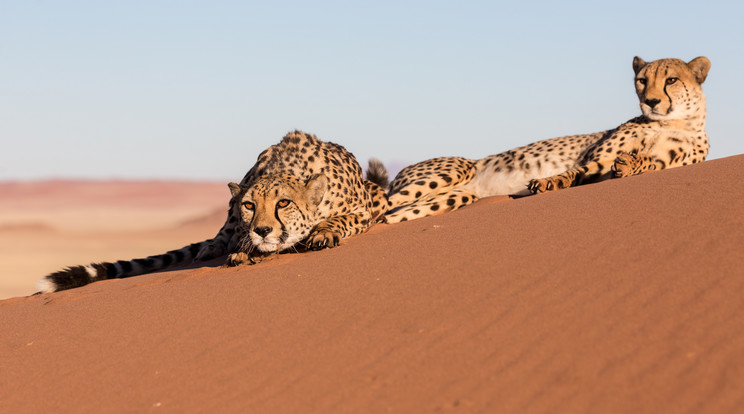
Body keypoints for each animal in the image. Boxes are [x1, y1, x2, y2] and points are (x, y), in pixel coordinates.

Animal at [37, 131, 390, 292]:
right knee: (223, 234)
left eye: (284, 203)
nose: (262, 230)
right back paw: (216, 246)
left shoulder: (367, 205)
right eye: (250, 205)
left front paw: (323, 233)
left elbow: (343, 219)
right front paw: (244, 251)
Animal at [386, 57, 712, 223]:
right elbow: (573, 172)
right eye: (642, 80)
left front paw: (630, 164)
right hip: (455, 169)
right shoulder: (596, 160)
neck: (671, 121)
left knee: (389, 217)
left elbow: (646, 163)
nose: (650, 102)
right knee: (384, 205)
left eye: (671, 80)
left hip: (454, 197)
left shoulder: (664, 165)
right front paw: (547, 183)